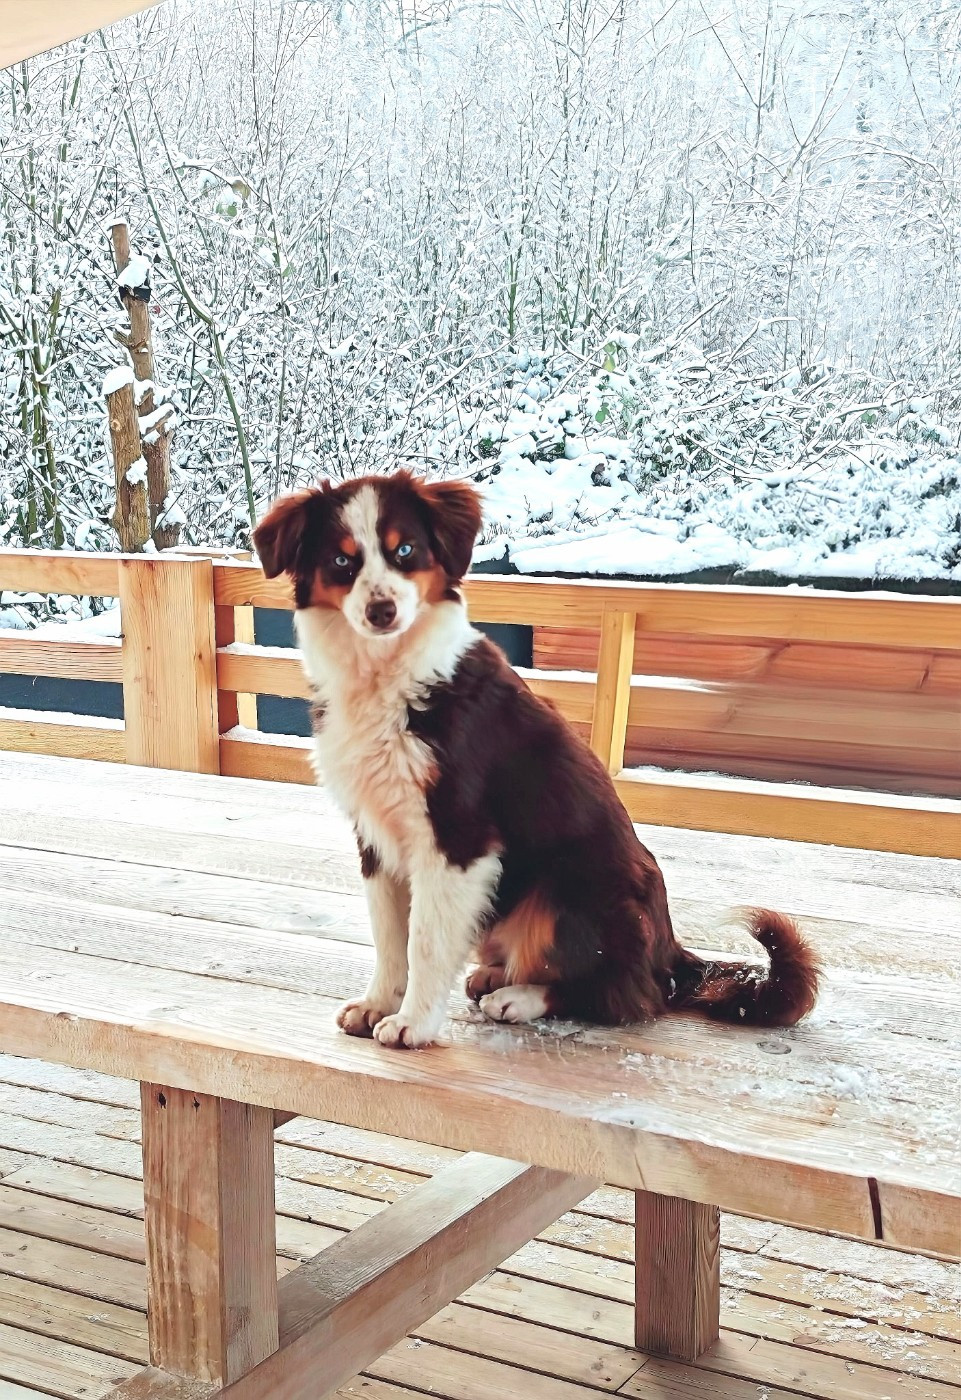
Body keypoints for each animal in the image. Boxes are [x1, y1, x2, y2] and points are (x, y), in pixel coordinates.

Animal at [254, 471, 819, 1049]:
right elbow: (390, 937)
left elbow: (425, 942)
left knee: (629, 995)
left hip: (569, 885)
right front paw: (377, 1005)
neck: (387, 677)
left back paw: (518, 997)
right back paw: (495, 977)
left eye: (405, 550)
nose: (381, 611)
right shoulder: (375, 833)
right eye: (341, 560)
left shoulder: (458, 838)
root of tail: (671, 955)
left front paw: (413, 1023)